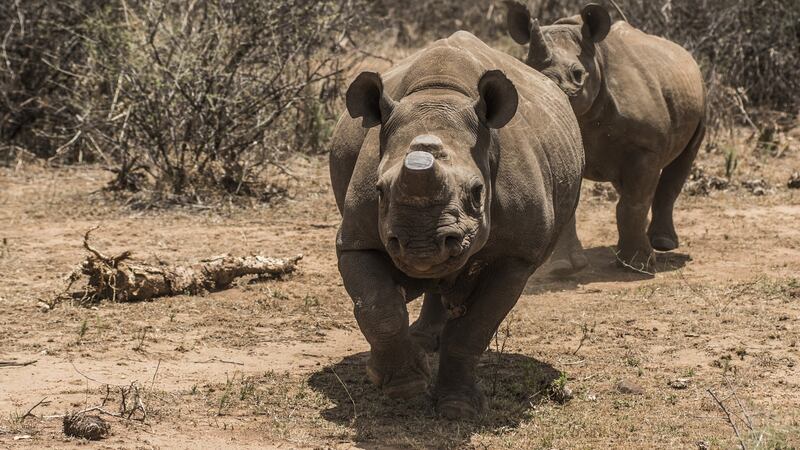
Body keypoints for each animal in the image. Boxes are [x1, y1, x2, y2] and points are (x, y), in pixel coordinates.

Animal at [329, 31, 584, 419]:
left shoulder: (517, 256)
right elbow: (377, 307)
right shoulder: (356, 240)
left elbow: (474, 329)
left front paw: (459, 407)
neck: (438, 96)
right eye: (379, 190)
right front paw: (406, 385)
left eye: (478, 192)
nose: (421, 246)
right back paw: (413, 349)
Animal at [506, 2, 706, 273]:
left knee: (682, 161)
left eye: (578, 74)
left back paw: (663, 244)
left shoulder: (646, 147)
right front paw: (564, 266)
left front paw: (637, 265)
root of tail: (684, 53)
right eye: (528, 73)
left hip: (701, 94)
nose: (549, 95)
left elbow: (633, 203)